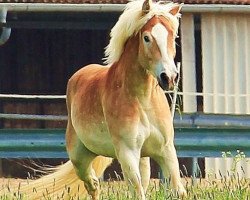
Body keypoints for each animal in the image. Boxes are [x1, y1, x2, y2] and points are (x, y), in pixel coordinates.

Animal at [5, 0, 187, 199]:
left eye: (173, 37)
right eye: (147, 37)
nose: (169, 77)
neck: (142, 100)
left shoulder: (166, 150)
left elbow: (178, 190)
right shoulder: (127, 153)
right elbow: (137, 192)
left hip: (143, 158)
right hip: (79, 159)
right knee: (92, 184)